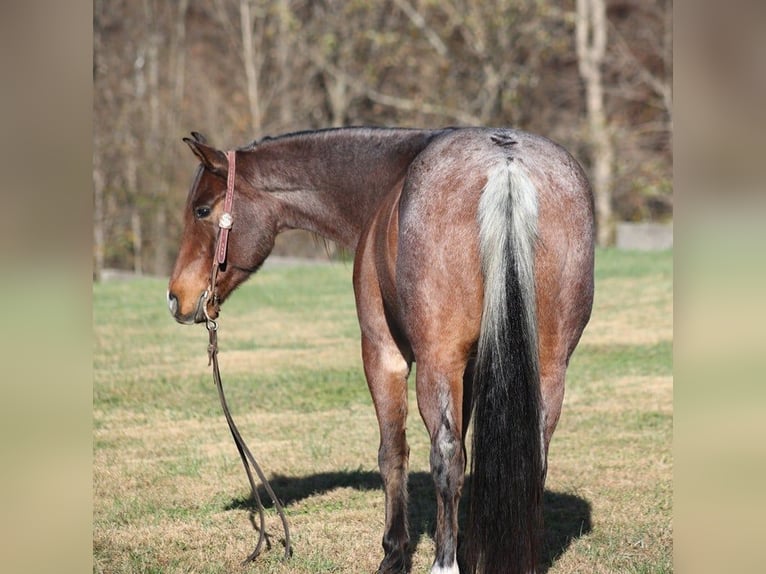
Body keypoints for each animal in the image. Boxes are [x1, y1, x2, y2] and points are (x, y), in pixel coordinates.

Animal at [167, 126, 594, 574]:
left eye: (201, 210)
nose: (176, 298)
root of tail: (506, 166)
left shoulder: (383, 353)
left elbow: (393, 452)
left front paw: (394, 551)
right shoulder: (472, 366)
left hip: (437, 363)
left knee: (445, 456)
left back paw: (443, 563)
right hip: (548, 367)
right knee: (532, 456)